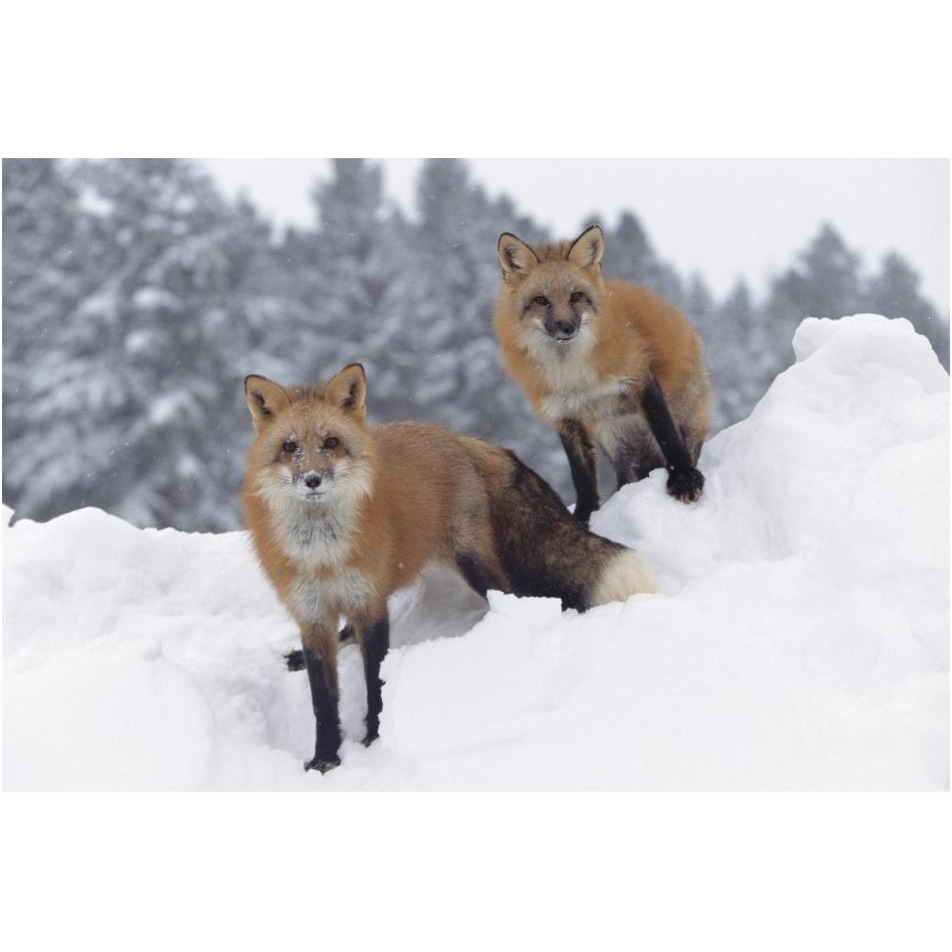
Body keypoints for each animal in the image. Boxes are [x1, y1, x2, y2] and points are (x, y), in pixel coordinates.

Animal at [242, 364, 656, 772]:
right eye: (289, 447)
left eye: (330, 443)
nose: (312, 479)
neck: (323, 555)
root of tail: (457, 437)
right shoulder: (312, 614)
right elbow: (323, 701)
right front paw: (325, 759)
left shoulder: (371, 605)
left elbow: (376, 681)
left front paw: (374, 739)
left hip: (472, 563)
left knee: (514, 597)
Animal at [494, 223, 712, 520]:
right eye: (541, 300)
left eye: (576, 296)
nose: (566, 327)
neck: (572, 375)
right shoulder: (565, 416)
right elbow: (582, 477)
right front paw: (583, 518)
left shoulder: (639, 378)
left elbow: (667, 436)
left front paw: (684, 478)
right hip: (617, 441)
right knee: (626, 478)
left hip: (682, 416)